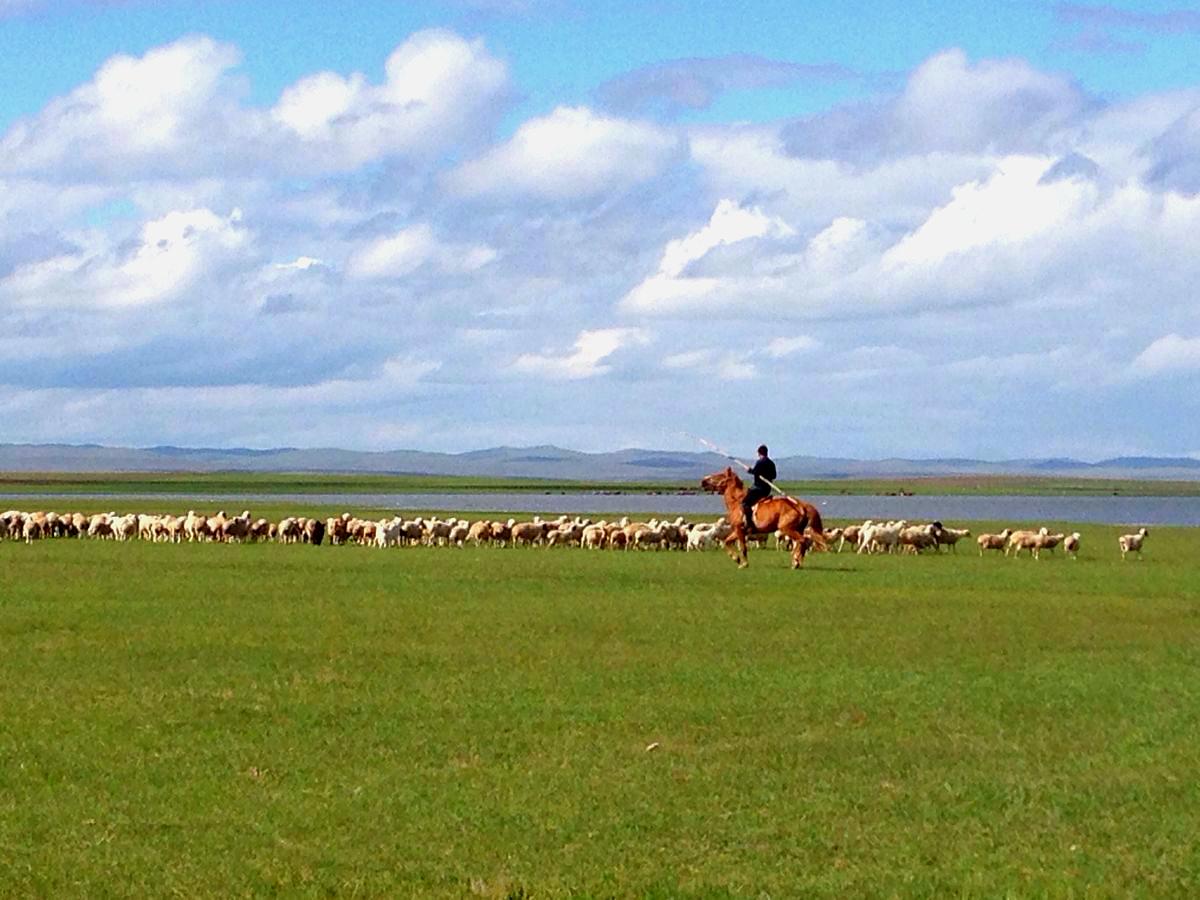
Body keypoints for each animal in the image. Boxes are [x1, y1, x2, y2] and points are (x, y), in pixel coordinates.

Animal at [700, 472, 830, 571]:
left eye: (719, 475)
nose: (703, 481)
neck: (737, 502)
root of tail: (801, 504)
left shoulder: (740, 531)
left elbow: (743, 548)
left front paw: (744, 564)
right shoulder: (738, 531)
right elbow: (726, 542)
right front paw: (736, 559)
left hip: (787, 529)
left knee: (802, 541)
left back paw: (796, 561)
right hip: (797, 529)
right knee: (803, 542)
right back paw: (796, 561)